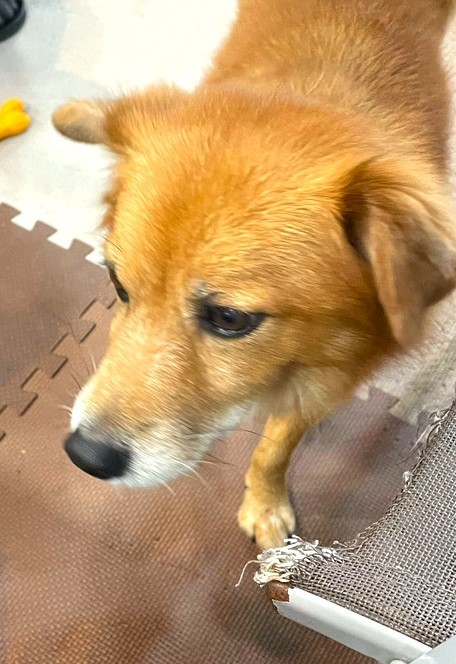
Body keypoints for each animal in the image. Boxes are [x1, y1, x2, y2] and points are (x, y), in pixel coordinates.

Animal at [54, 0, 456, 549]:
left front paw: (265, 503)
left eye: (229, 318)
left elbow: (276, 446)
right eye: (117, 284)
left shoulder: (331, 373)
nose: (85, 456)